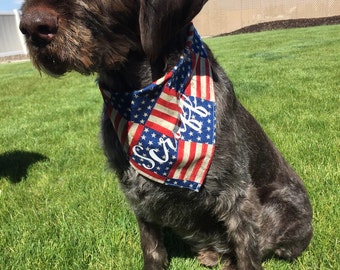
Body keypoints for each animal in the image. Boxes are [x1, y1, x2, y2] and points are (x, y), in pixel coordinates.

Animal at [19, 1, 314, 268]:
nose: (31, 27)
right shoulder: (137, 194)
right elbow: (152, 249)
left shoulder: (236, 196)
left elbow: (247, 252)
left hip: (277, 210)